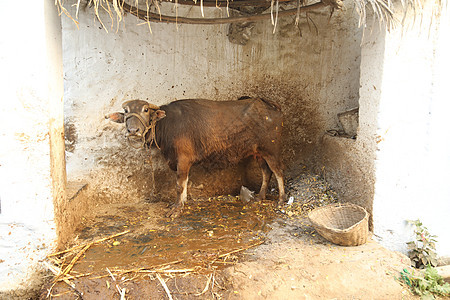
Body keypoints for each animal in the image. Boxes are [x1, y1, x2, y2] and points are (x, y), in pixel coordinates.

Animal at [107, 97, 284, 217]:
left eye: (145, 110)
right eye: (126, 111)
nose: (133, 130)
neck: (166, 126)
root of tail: (270, 105)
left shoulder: (183, 160)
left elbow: (179, 184)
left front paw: (177, 208)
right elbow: (184, 183)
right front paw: (182, 203)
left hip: (272, 151)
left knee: (278, 172)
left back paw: (281, 199)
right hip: (258, 152)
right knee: (266, 172)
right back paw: (260, 196)